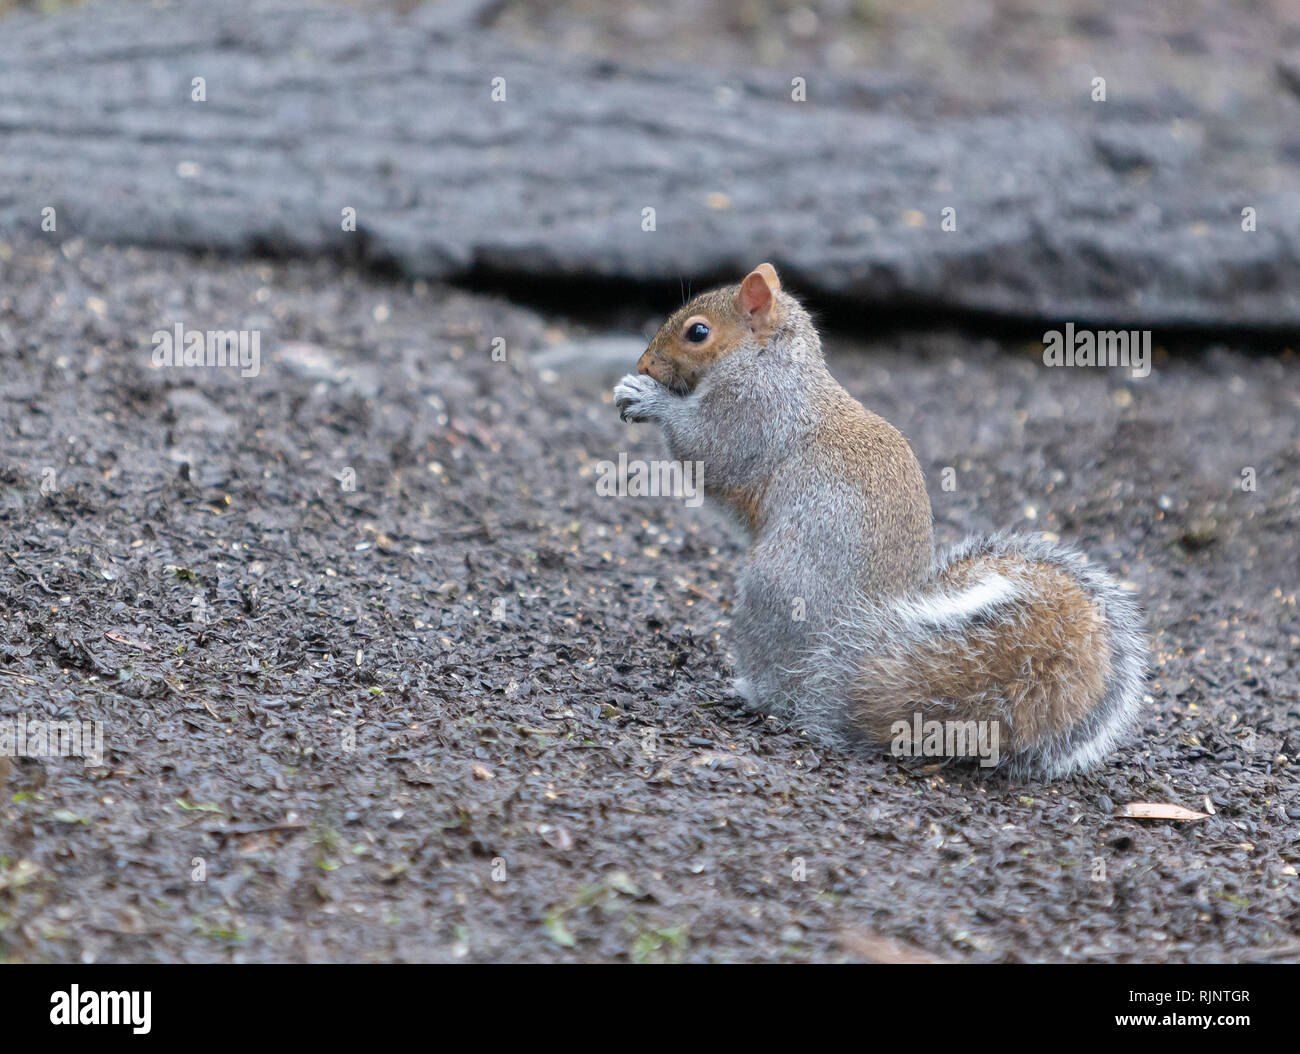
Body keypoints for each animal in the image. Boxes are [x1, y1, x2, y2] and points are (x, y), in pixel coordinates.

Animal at [613, 263, 1146, 778]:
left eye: (697, 332)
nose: (643, 365)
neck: (772, 359)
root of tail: (866, 651)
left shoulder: (750, 411)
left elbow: (707, 453)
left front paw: (646, 398)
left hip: (776, 589)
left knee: (789, 690)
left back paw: (753, 690)